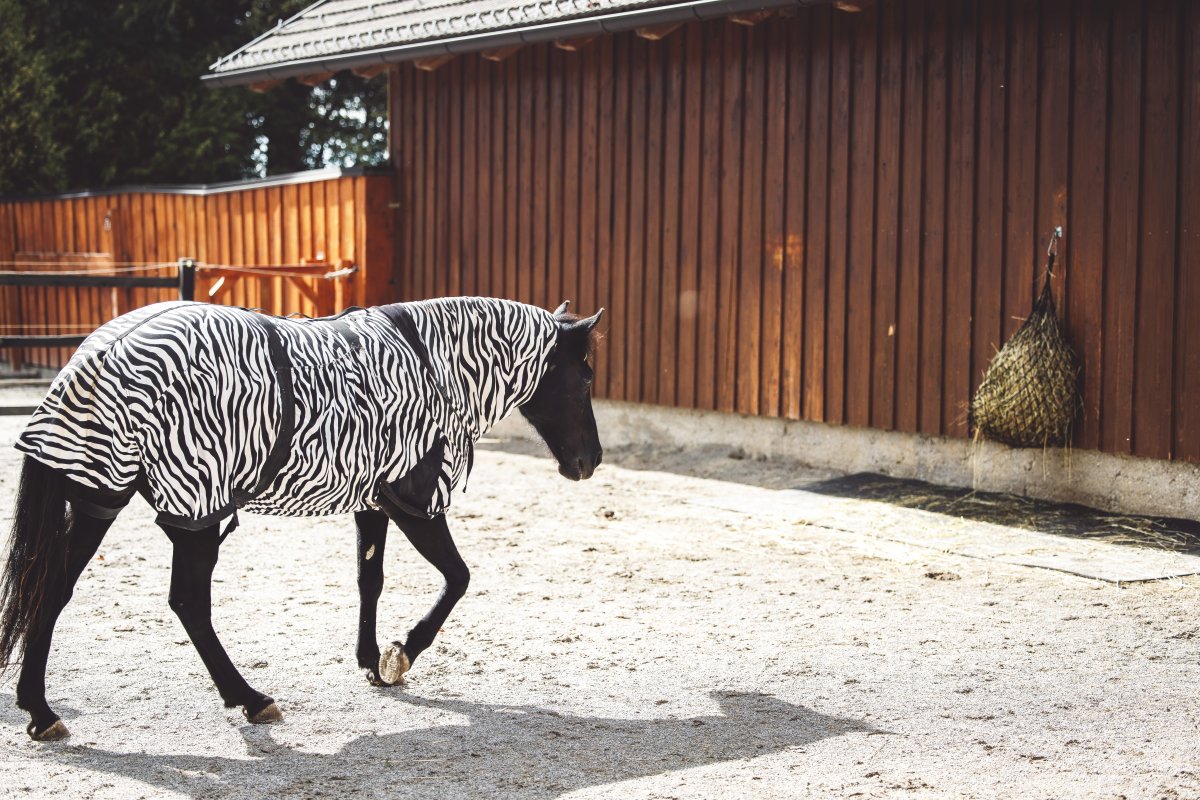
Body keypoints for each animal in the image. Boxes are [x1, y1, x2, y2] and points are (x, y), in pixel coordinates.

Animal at [0, 297, 604, 740]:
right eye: (585, 379)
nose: (590, 461)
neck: (430, 364)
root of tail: (96, 354)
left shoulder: (374, 501)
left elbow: (369, 579)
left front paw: (371, 660)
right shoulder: (414, 503)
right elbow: (458, 578)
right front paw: (403, 652)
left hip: (100, 498)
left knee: (52, 588)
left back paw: (39, 709)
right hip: (186, 513)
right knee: (185, 602)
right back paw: (249, 698)